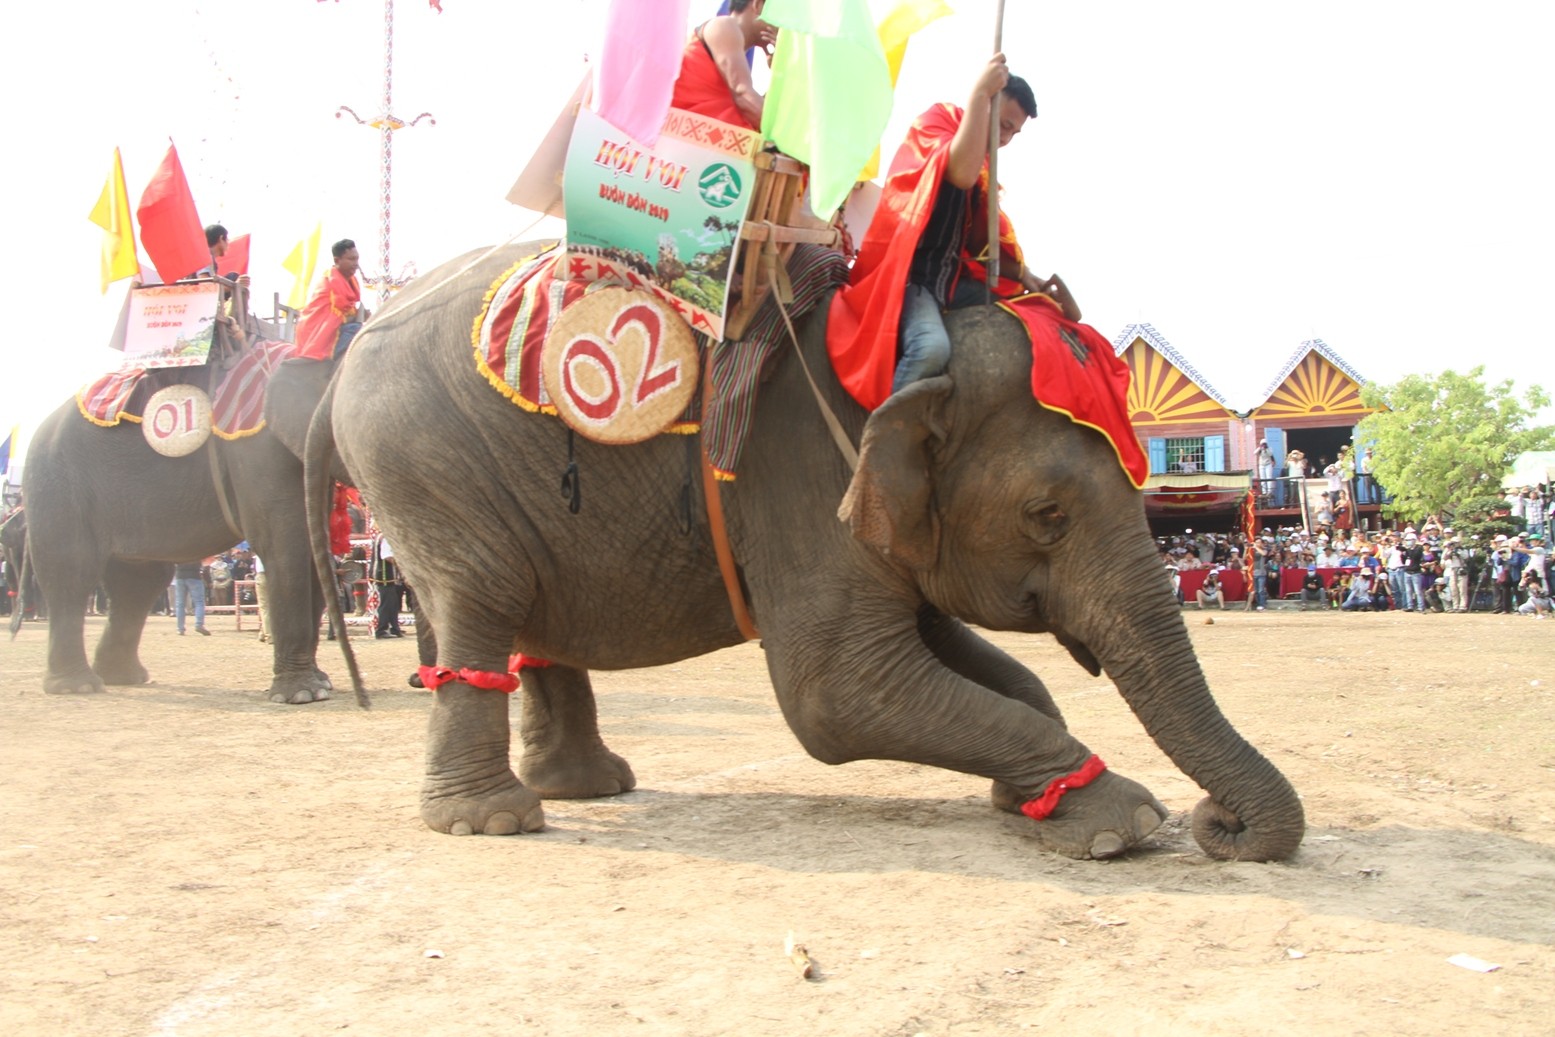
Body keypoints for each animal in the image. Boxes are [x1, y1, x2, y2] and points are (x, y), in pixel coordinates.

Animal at [22, 357, 343, 705]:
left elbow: (312, 547)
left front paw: (322, 685)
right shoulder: (257, 454)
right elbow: (286, 547)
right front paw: (303, 695)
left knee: (139, 581)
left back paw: (123, 678)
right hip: (56, 481)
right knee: (73, 568)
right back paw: (77, 687)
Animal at [312, 240, 1299, 858]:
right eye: (1046, 512)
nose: (1217, 822)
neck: (908, 346)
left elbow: (971, 663)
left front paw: (1030, 800)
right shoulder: (798, 480)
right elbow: (833, 694)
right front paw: (1121, 824)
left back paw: (586, 789)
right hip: (423, 466)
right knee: (479, 601)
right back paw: (495, 822)